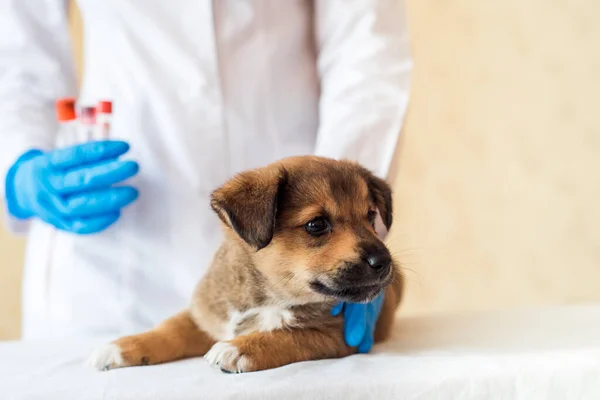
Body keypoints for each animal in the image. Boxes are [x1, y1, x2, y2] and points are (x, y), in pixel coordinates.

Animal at [88, 155, 404, 374]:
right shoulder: (205, 315)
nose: (384, 262)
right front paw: (122, 346)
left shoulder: (334, 334)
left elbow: (289, 335)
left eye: (370, 216)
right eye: (316, 225)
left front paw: (238, 349)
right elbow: (169, 329)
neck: (265, 298)